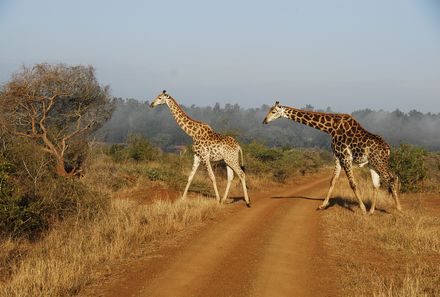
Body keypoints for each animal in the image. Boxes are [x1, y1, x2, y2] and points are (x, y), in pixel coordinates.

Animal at [262, 100, 400, 214]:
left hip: (379, 162)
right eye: (269, 110)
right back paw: (372, 211)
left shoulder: (345, 157)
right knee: (377, 184)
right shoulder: (338, 157)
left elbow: (352, 183)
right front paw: (322, 205)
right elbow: (332, 180)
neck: (330, 128)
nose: (264, 121)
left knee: (391, 178)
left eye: (273, 111)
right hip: (373, 164)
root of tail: (388, 149)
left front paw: (362, 209)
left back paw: (398, 209)